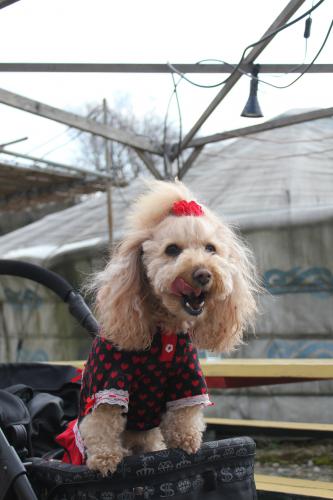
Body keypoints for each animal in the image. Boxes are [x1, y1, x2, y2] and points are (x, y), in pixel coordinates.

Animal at [60, 181, 256, 476]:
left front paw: (187, 442)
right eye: (172, 250)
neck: (163, 330)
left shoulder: (186, 379)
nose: (203, 274)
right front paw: (106, 459)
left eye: (210, 248)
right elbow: (103, 422)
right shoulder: (109, 382)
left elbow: (184, 414)